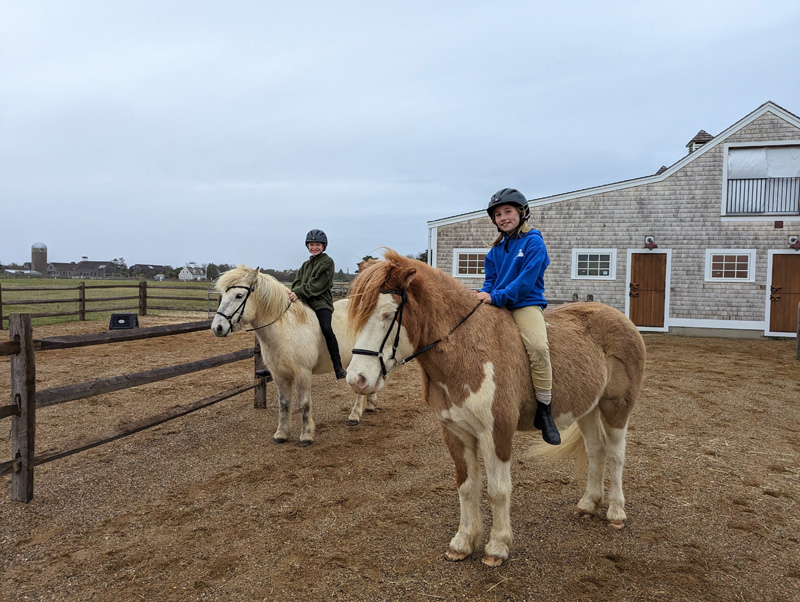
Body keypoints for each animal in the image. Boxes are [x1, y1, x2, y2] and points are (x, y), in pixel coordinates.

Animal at [211, 265, 412, 446]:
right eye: (222, 295)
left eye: (239, 295)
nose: (217, 327)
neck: (286, 329)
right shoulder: (279, 375)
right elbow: (284, 404)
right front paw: (281, 434)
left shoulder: (303, 373)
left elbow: (304, 404)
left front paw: (306, 436)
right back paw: (369, 405)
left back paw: (355, 415)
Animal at [346, 249, 646, 566]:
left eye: (387, 315)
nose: (356, 379)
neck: (467, 350)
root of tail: (620, 319)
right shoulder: (456, 432)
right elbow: (466, 486)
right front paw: (463, 542)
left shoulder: (496, 433)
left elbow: (498, 490)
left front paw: (497, 547)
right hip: (587, 408)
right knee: (596, 450)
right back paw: (588, 504)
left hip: (616, 408)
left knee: (615, 454)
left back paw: (616, 512)